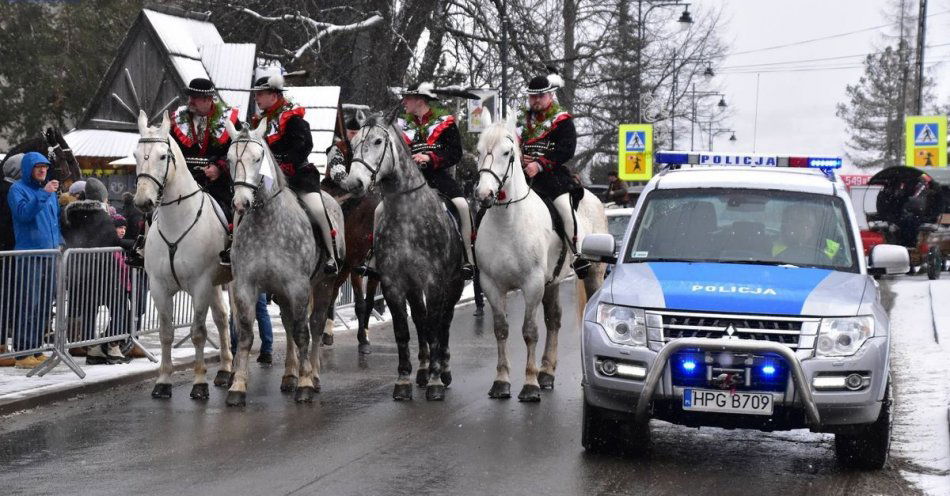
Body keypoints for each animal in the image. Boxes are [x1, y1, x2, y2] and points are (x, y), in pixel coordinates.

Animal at [134, 111, 232, 400]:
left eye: (162, 156)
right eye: (136, 154)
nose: (142, 201)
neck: (177, 221)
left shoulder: (200, 285)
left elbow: (198, 332)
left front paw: (199, 383)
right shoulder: (159, 287)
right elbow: (166, 333)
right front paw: (163, 381)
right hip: (216, 284)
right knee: (222, 318)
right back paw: (225, 371)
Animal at [221, 118, 344, 404]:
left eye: (258, 158)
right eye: (229, 158)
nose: (241, 202)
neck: (266, 222)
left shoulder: (298, 286)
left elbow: (303, 333)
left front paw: (306, 383)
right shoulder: (245, 286)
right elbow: (246, 334)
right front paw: (237, 386)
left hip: (324, 285)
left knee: (315, 325)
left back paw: (313, 375)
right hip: (281, 293)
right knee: (288, 326)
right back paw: (289, 375)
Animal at [324, 180, 384, 354]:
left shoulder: (375, 273)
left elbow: (369, 303)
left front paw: (365, 336)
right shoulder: (355, 268)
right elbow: (360, 304)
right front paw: (363, 339)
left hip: (343, 269)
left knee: (333, 291)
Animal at [342, 111, 464, 400]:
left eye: (378, 141)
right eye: (353, 143)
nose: (354, 183)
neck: (408, 218)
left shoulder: (434, 282)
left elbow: (434, 327)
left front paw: (435, 382)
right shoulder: (394, 284)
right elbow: (403, 331)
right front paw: (404, 380)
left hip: (454, 283)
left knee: (444, 322)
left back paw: (443, 369)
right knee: (420, 320)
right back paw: (422, 369)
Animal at [472, 117, 608, 404]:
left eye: (507, 153)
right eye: (478, 151)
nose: (484, 193)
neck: (507, 223)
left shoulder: (532, 284)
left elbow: (529, 331)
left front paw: (529, 384)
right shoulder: (492, 285)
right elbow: (501, 329)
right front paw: (501, 381)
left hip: (593, 274)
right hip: (552, 282)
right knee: (554, 320)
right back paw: (546, 372)